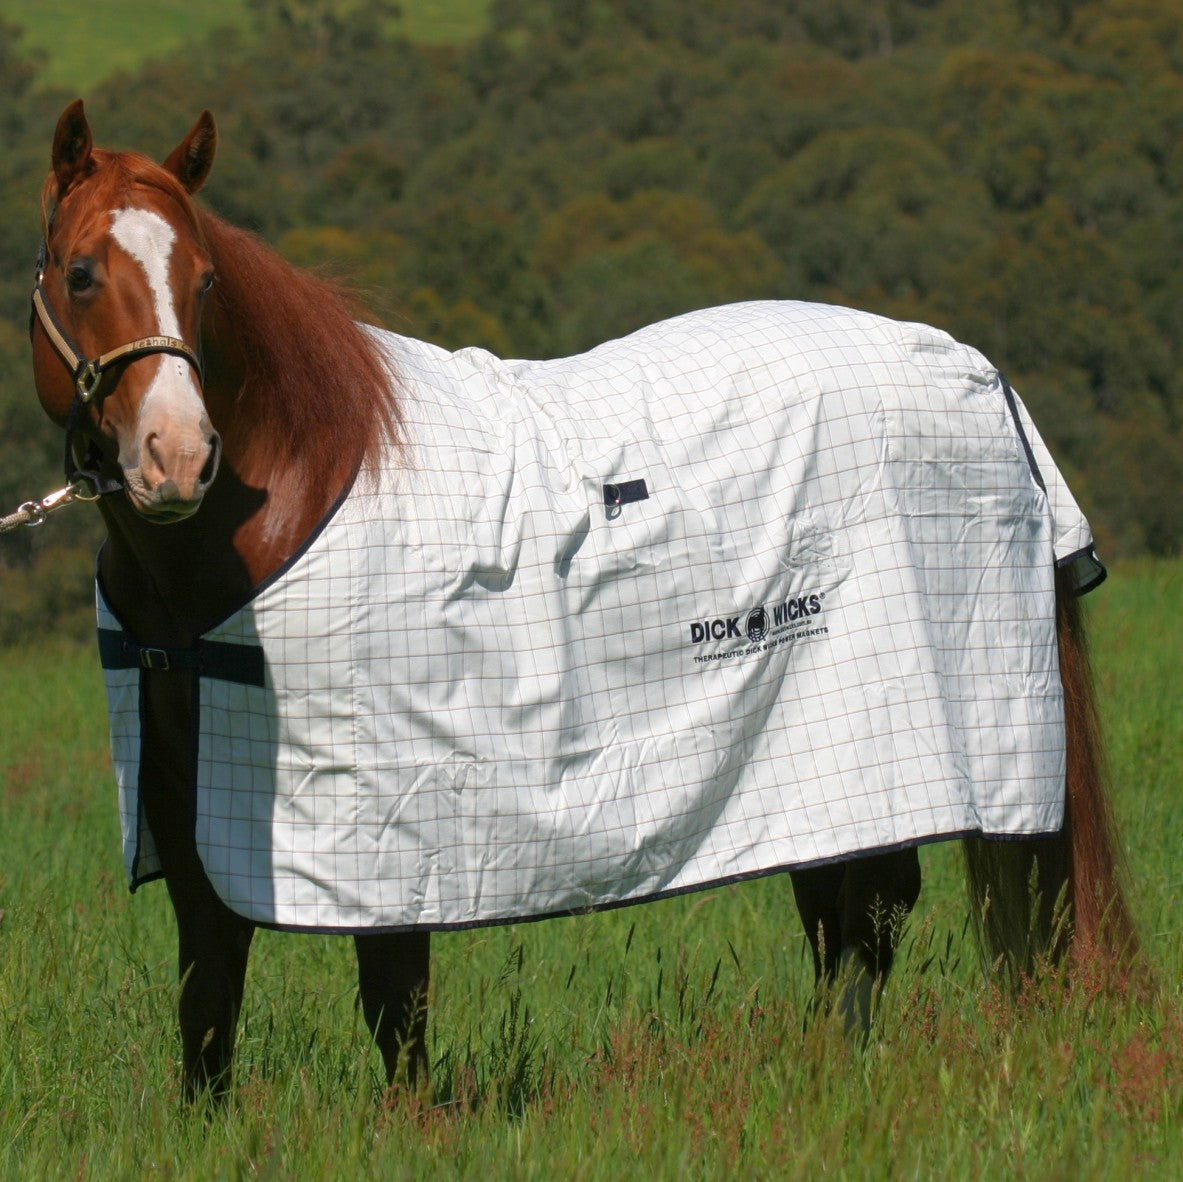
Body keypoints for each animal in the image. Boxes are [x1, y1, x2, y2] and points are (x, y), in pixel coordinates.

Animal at [29, 100, 1137, 1101]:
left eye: (205, 283)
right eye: (80, 273)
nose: (178, 458)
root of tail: (971, 369)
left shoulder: (391, 825)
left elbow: (394, 998)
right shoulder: (194, 820)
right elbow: (208, 998)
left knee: (871, 914)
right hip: (807, 768)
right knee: (838, 906)